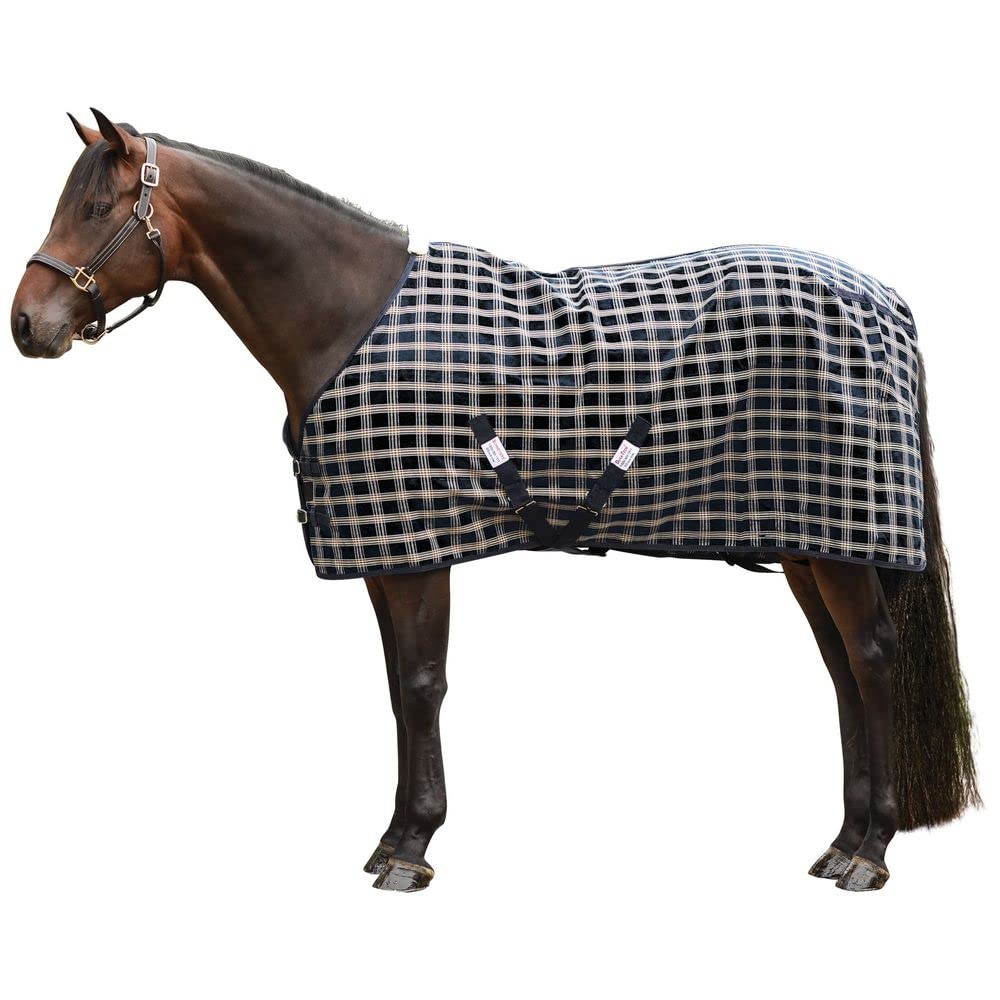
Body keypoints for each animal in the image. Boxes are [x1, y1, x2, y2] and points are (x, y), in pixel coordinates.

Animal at [10, 110, 979, 893]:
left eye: (96, 208)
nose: (27, 323)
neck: (347, 318)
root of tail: (884, 300)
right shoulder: (386, 552)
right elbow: (398, 688)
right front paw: (398, 834)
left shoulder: (418, 549)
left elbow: (420, 684)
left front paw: (410, 848)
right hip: (811, 544)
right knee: (841, 669)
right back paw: (841, 839)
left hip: (841, 544)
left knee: (872, 660)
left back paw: (869, 853)